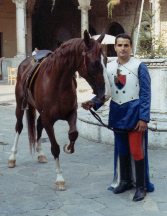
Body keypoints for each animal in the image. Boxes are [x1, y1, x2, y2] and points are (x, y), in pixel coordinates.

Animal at [7, 30, 111, 189]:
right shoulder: (48, 120)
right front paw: (60, 178)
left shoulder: (71, 113)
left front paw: (69, 147)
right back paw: (12, 157)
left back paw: (40, 154)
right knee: (19, 126)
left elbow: (73, 134)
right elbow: (55, 147)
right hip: (19, 105)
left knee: (38, 125)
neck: (57, 81)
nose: (106, 95)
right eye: (95, 63)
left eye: (106, 60)